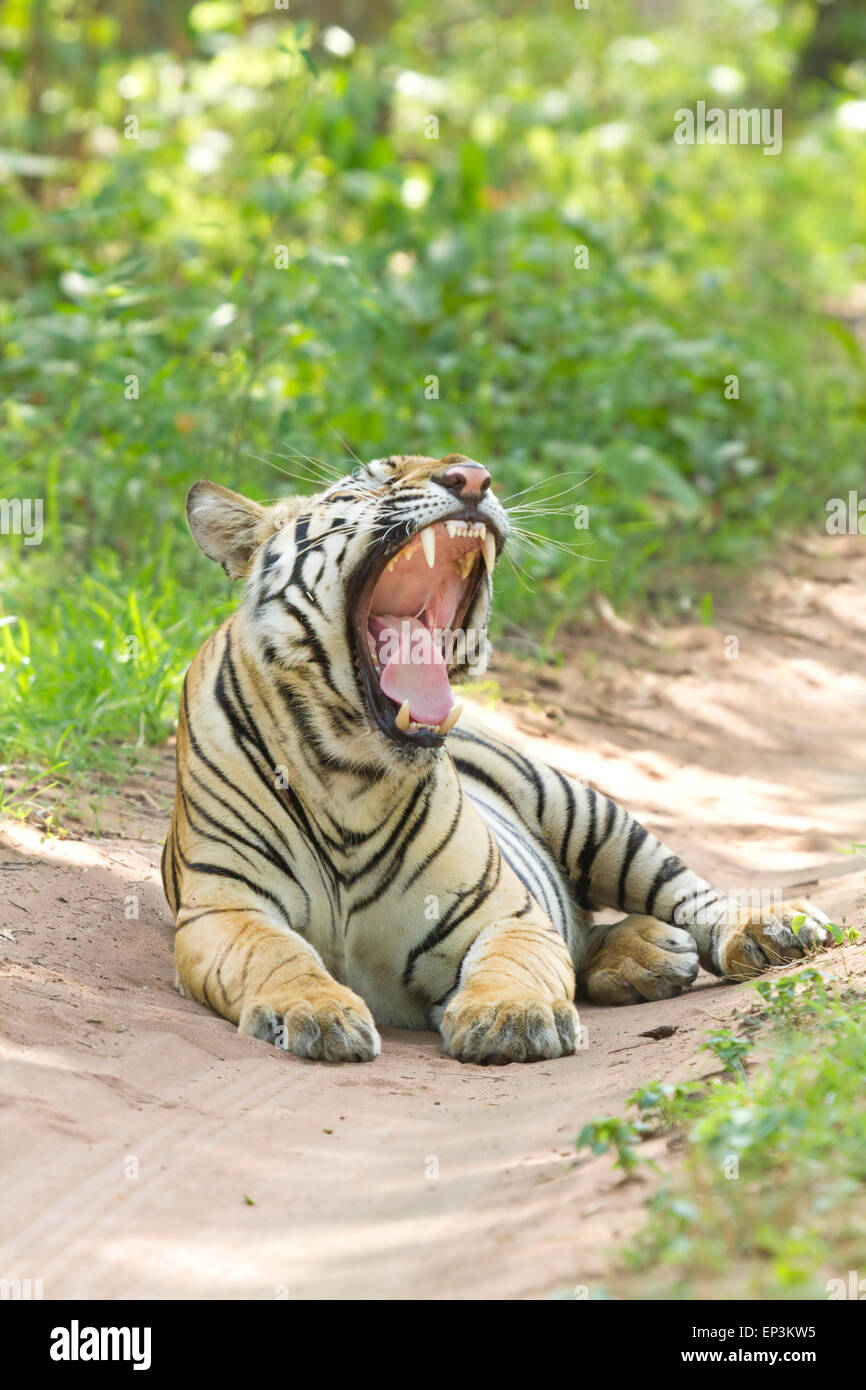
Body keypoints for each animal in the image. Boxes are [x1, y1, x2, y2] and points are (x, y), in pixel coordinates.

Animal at [162, 450, 834, 1056]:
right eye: (372, 479)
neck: (347, 771)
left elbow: (513, 963)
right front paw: (315, 1012)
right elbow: (276, 954)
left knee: (684, 891)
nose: (474, 478)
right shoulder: (226, 907)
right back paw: (649, 957)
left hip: (583, 810)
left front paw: (511, 1017)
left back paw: (770, 929)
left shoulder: (502, 911)